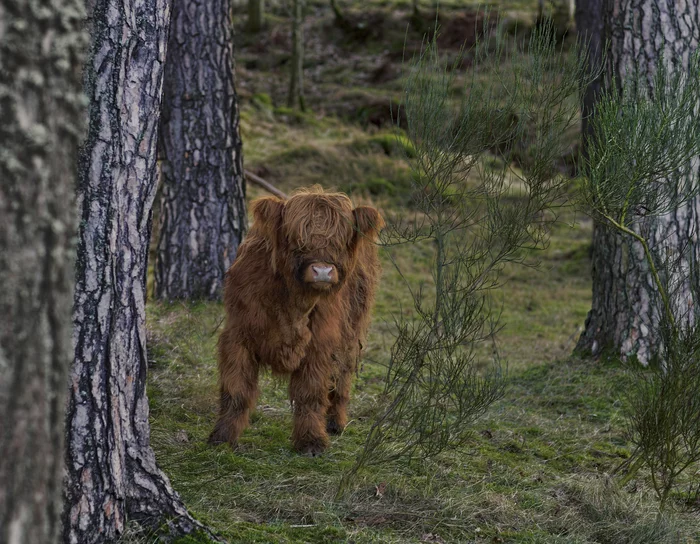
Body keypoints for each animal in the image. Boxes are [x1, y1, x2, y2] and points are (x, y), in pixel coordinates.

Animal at [209, 187, 382, 454]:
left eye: (340, 240)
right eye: (296, 237)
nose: (322, 271)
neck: (294, 308)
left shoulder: (320, 345)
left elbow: (310, 394)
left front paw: (311, 441)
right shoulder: (237, 335)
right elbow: (235, 390)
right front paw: (223, 436)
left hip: (352, 330)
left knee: (342, 376)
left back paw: (335, 422)